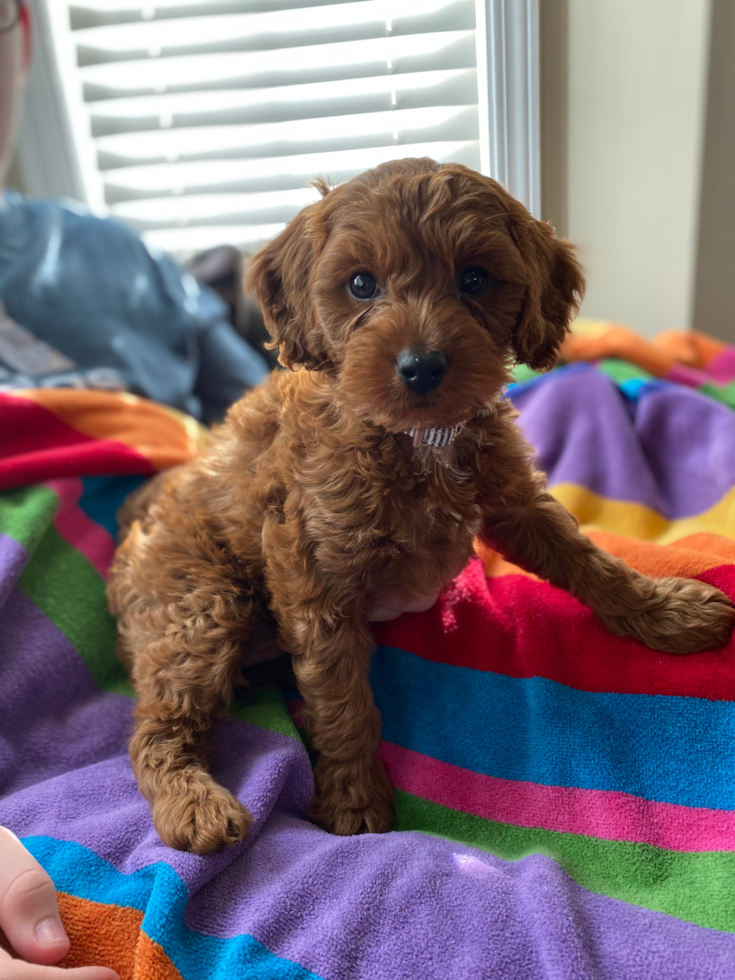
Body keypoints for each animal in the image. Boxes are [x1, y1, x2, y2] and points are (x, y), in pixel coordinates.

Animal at [106, 157, 732, 852]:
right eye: (360, 284)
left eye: (475, 278)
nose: (422, 366)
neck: (418, 439)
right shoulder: (314, 572)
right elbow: (342, 698)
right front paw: (355, 802)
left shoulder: (514, 501)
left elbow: (587, 560)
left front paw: (663, 609)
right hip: (201, 608)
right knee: (154, 727)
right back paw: (195, 806)